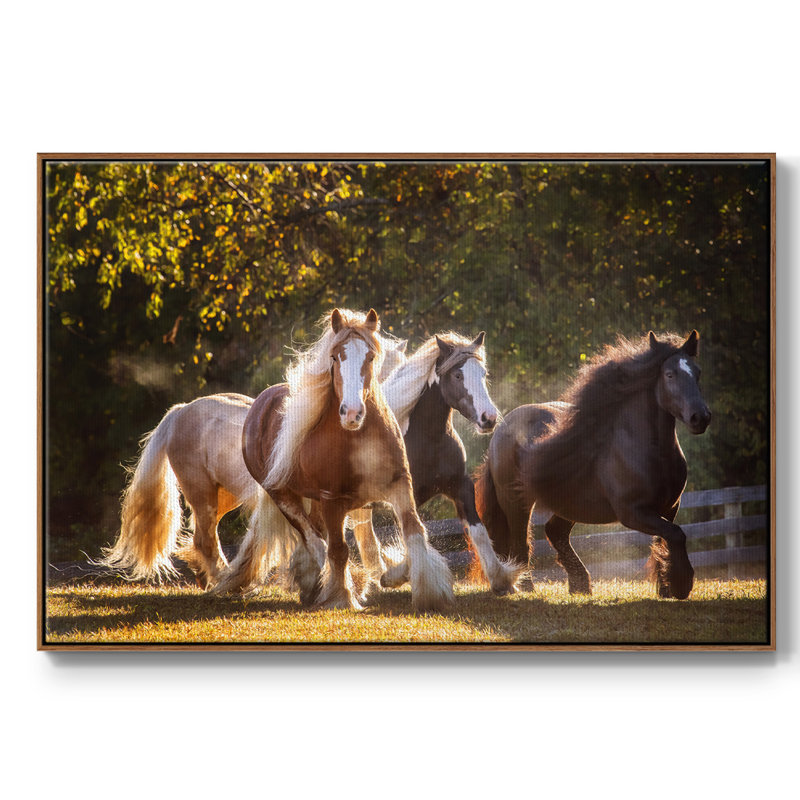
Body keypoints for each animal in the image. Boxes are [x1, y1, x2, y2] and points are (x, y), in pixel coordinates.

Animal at [98, 338, 407, 589]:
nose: (355, 414)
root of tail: (180, 411)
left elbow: (360, 540)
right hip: (202, 494)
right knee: (206, 539)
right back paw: (222, 581)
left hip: (224, 497)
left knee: (202, 538)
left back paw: (209, 580)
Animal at [213, 308, 454, 612]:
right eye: (335, 356)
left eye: (370, 356)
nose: (351, 413)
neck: (358, 439)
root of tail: (260, 403)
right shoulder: (332, 500)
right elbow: (338, 550)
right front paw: (343, 597)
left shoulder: (399, 485)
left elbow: (414, 531)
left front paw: (430, 593)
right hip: (283, 497)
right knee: (313, 540)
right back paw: (326, 586)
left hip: (314, 501)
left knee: (316, 538)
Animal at [348, 331, 524, 598]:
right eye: (458, 375)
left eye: (483, 373)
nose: (489, 418)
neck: (430, 440)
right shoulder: (406, 496)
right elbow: (414, 534)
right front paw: (394, 576)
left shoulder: (461, 487)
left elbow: (478, 531)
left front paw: (501, 580)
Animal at [474, 331, 711, 600]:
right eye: (670, 374)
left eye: (697, 372)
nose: (700, 417)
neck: (650, 453)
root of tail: (501, 429)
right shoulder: (633, 512)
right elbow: (675, 534)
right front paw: (681, 584)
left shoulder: (670, 507)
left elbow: (664, 541)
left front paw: (666, 587)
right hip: (516, 502)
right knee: (520, 543)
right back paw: (526, 587)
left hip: (570, 502)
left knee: (555, 532)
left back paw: (580, 584)